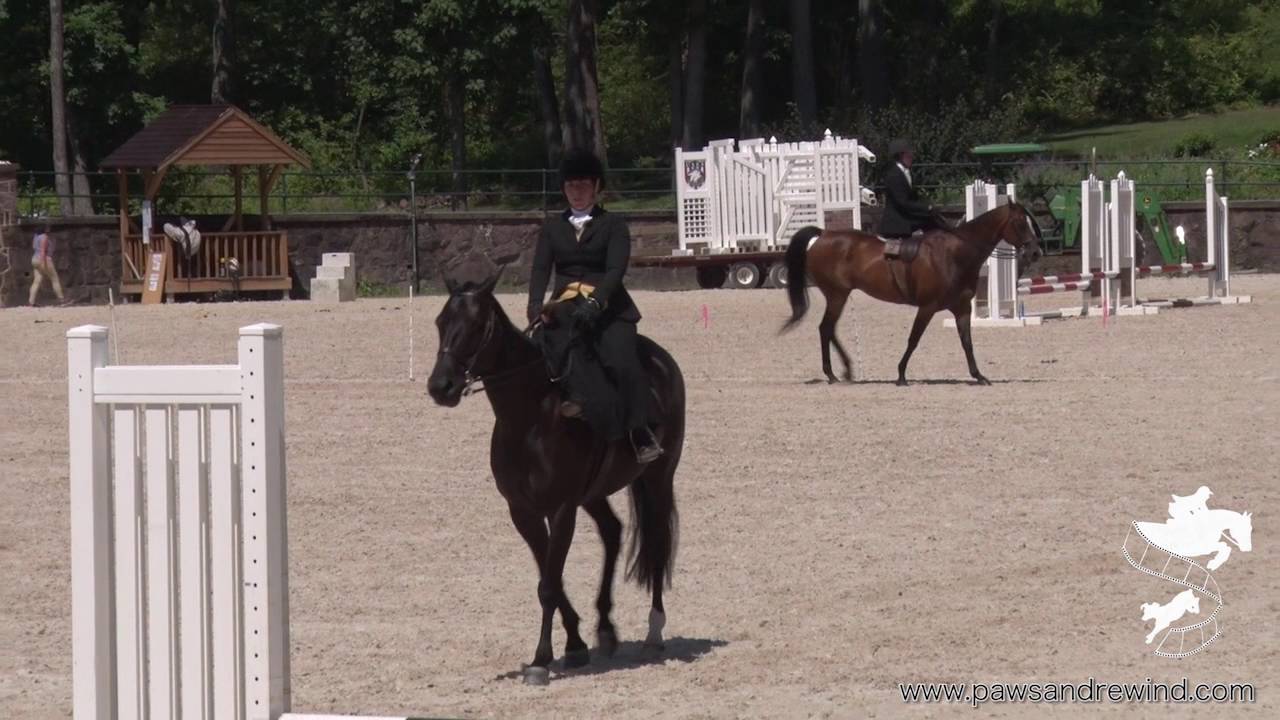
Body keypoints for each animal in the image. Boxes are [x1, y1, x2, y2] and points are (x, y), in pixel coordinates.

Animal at [426, 268, 685, 685]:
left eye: (476, 325)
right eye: (440, 322)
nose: (440, 386)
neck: (530, 416)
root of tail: (663, 361)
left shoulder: (562, 507)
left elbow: (549, 583)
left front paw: (541, 659)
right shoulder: (524, 511)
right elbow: (551, 576)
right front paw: (576, 645)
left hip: (659, 477)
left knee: (657, 540)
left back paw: (654, 632)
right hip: (594, 493)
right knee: (613, 532)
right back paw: (605, 629)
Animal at [779, 202, 1045, 385]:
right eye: (1020, 223)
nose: (1035, 252)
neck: (955, 254)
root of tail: (824, 234)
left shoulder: (962, 308)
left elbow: (967, 342)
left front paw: (979, 376)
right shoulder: (927, 307)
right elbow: (914, 339)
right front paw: (901, 375)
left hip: (839, 296)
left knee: (829, 329)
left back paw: (844, 370)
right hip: (837, 295)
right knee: (825, 328)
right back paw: (833, 374)